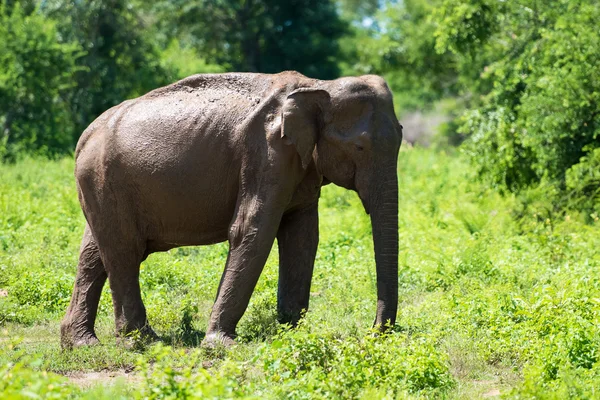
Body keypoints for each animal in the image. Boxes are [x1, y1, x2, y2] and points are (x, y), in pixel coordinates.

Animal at [61, 70, 404, 348]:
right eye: (359, 147)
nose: (375, 333)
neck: (319, 85)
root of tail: (84, 138)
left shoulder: (300, 164)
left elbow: (303, 236)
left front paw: (292, 334)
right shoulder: (267, 153)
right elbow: (252, 228)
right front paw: (221, 345)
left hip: (101, 188)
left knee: (94, 252)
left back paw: (81, 344)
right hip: (104, 179)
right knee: (124, 251)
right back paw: (143, 342)